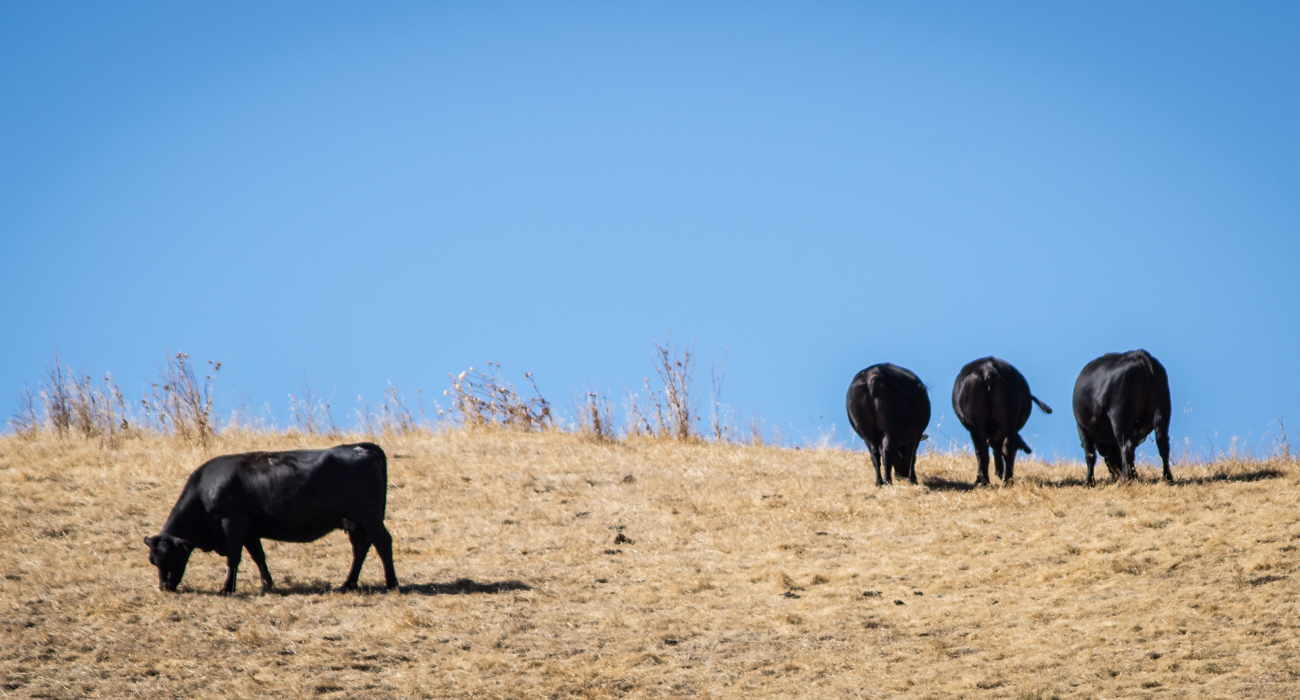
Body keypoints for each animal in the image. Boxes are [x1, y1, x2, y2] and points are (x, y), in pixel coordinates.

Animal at [141, 442, 395, 588]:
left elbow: (233, 558)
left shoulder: (232, 524)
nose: (164, 586)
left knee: (382, 542)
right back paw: (348, 584)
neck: (206, 489)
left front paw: (227, 589)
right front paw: (267, 585)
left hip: (369, 518)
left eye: (171, 557)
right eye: (153, 560)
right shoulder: (250, 532)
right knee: (360, 548)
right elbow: (258, 557)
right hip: (354, 522)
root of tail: (361, 447)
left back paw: (391, 583)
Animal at [956, 353, 1055, 484]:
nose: (998, 473)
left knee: (985, 451)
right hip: (1008, 422)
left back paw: (984, 480)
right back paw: (1005, 479)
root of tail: (989, 369)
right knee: (1003, 448)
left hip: (981, 425)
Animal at [1071, 348, 1175, 484]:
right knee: (1162, 444)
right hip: (1162, 411)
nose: (1116, 474)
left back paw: (1124, 480)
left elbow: (1090, 456)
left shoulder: (1082, 430)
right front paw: (1135, 476)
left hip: (1120, 416)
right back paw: (1167, 478)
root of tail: (1137, 355)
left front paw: (1088, 482)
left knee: (1126, 447)